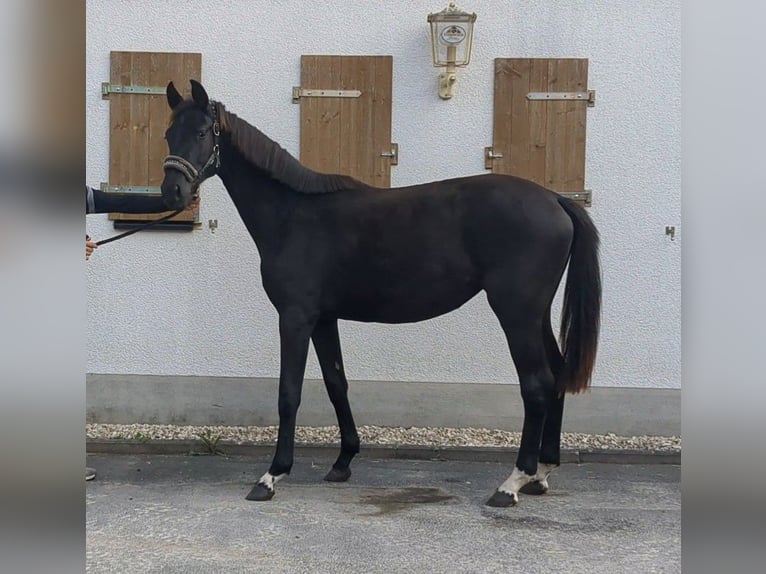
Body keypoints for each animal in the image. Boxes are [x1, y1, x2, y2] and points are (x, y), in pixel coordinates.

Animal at [161, 80, 601, 507]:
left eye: (202, 132)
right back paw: (542, 474)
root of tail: (555, 200)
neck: (293, 215)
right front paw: (343, 461)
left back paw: (512, 483)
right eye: (168, 133)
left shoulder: (295, 317)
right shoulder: (323, 318)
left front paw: (272, 476)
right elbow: (336, 384)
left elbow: (289, 392)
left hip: (515, 312)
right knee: (556, 374)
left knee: (537, 384)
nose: (172, 192)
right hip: (535, 313)